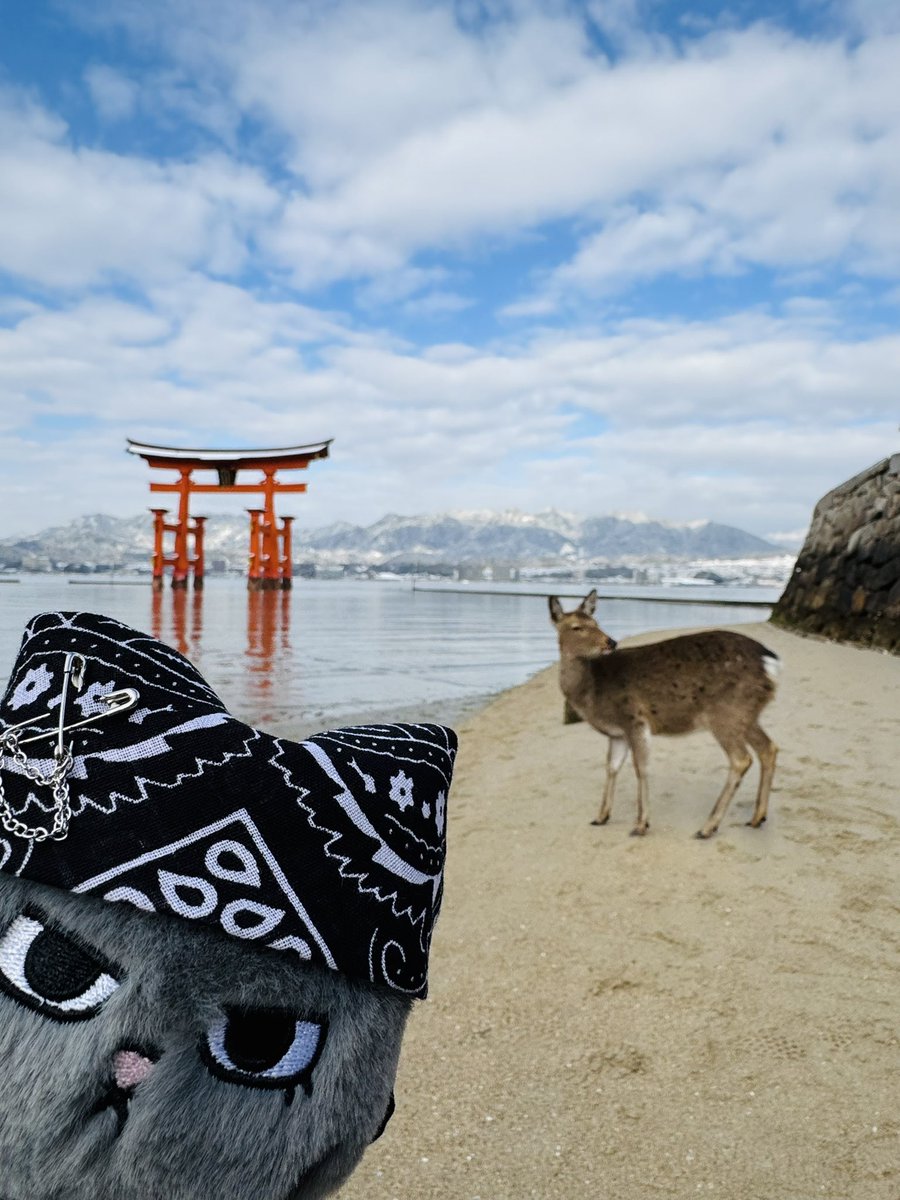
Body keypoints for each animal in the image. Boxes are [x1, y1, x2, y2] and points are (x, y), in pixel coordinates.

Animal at [549, 590, 780, 839]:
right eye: (577, 627)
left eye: (595, 622)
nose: (610, 642)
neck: (592, 692)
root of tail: (770, 663)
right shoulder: (617, 733)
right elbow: (611, 767)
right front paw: (601, 817)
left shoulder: (634, 718)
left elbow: (641, 767)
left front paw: (641, 824)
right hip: (747, 714)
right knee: (768, 748)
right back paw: (757, 818)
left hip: (726, 712)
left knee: (741, 759)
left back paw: (708, 827)